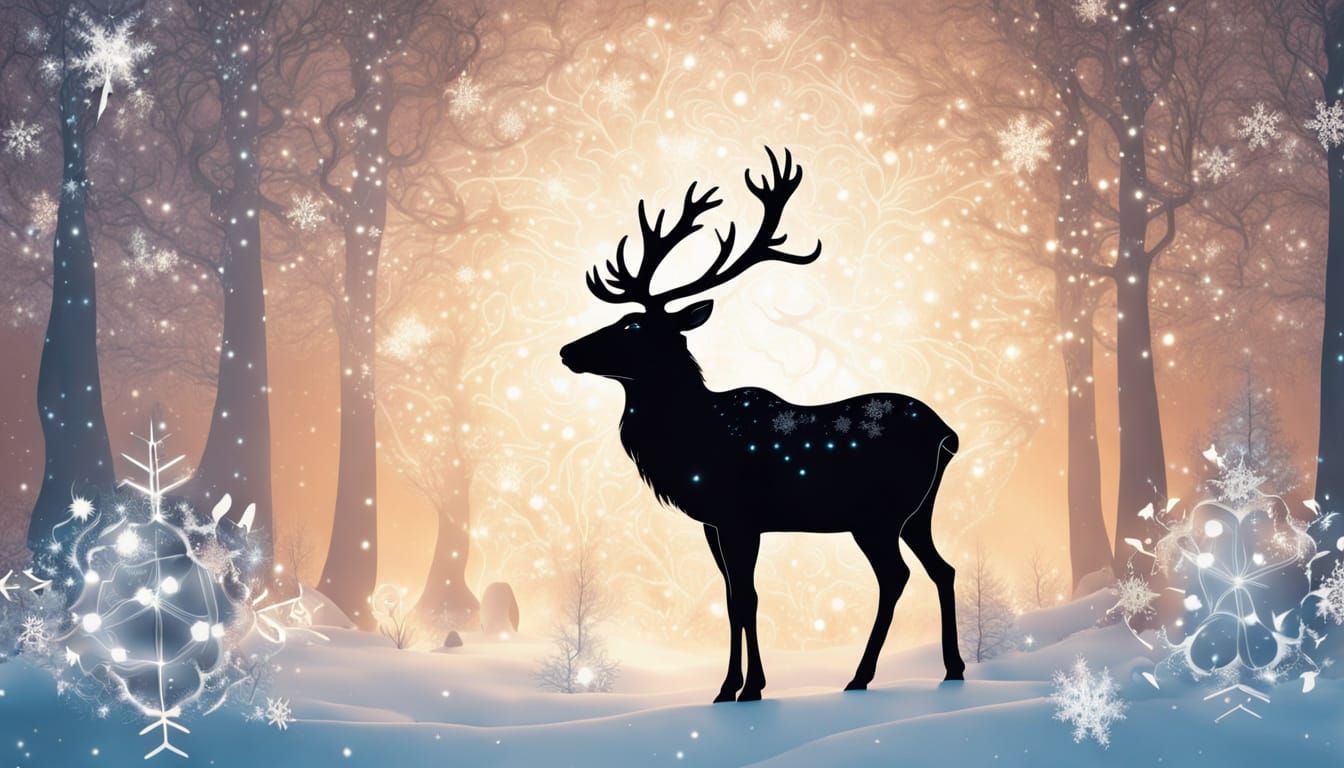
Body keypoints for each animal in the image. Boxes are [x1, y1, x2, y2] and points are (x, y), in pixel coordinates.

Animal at [560, 147, 965, 703]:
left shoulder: (739, 516)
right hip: (918, 512)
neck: (688, 443)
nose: (567, 350)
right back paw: (953, 668)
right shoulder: (713, 523)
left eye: (633, 325)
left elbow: (746, 598)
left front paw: (748, 688)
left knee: (896, 577)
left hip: (878, 516)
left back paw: (860, 676)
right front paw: (730, 686)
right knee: (942, 568)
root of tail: (949, 435)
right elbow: (733, 598)